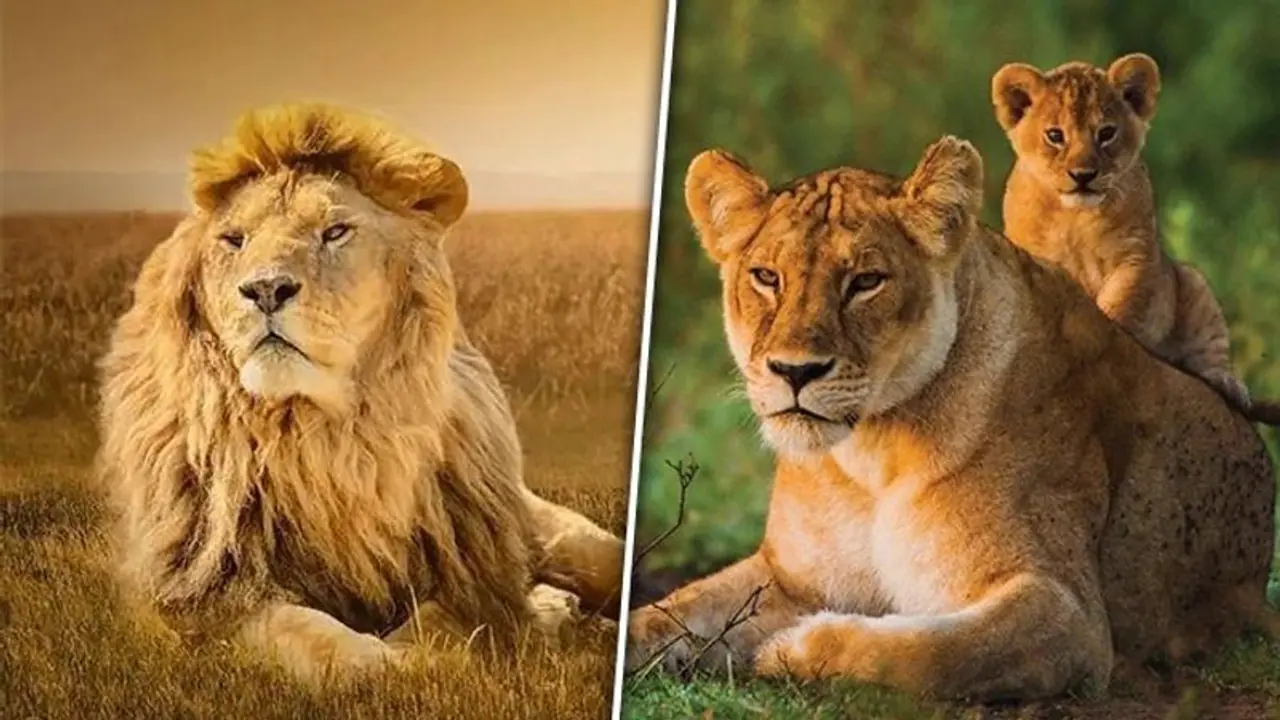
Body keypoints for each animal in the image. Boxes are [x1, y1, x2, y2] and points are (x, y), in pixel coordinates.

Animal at [96, 102, 624, 683]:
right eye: (233, 240)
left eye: (335, 232)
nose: (265, 289)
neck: (326, 436)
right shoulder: (202, 599)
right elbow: (312, 638)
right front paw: (400, 661)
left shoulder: (470, 564)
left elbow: (450, 615)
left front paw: (483, 634)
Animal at [623, 136, 1278, 701]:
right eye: (766, 277)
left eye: (866, 282)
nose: (795, 371)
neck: (868, 455)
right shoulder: (789, 579)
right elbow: (665, 614)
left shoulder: (1069, 617)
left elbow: (925, 655)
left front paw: (791, 648)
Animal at [991, 53, 1280, 424]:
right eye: (1055, 135)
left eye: (1106, 133)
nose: (1083, 175)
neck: (1075, 217)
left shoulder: (1136, 256)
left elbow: (1122, 308)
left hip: (1192, 282)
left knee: (1208, 354)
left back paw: (1227, 382)